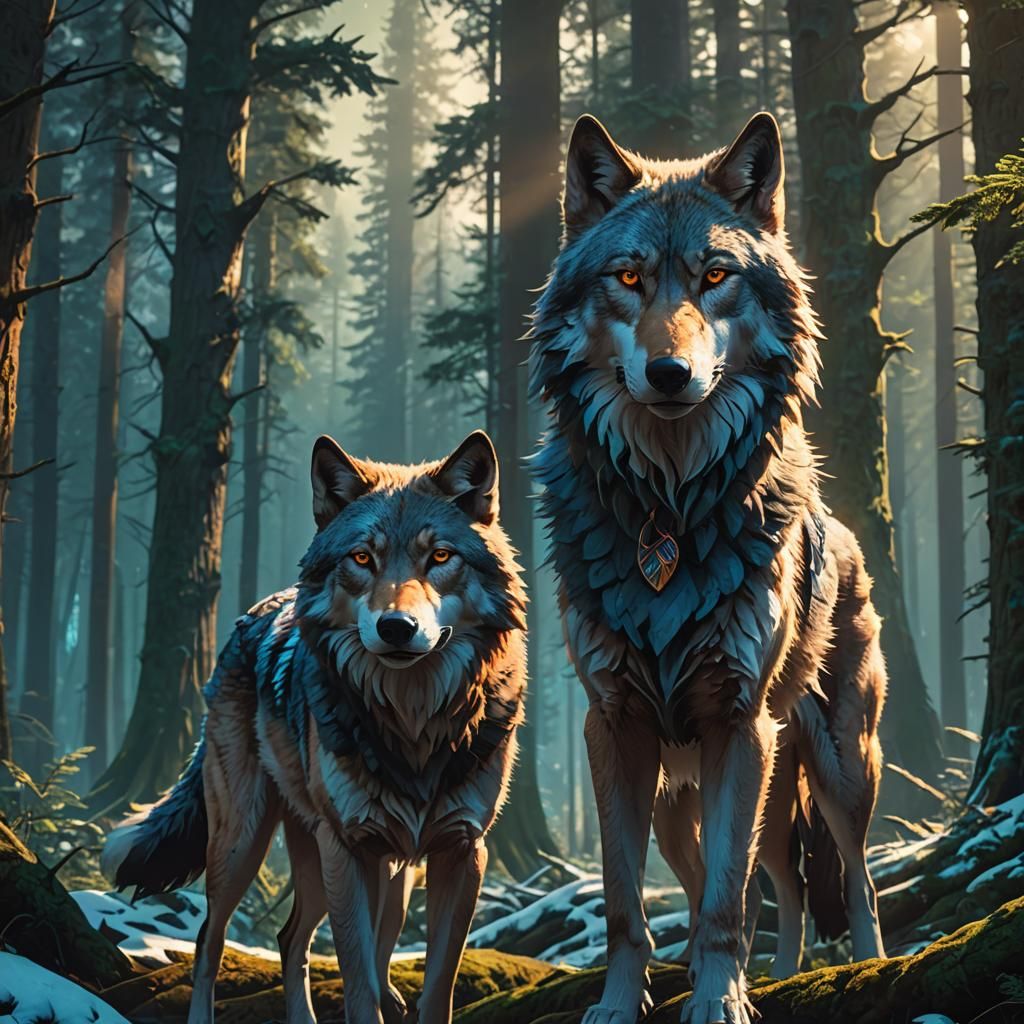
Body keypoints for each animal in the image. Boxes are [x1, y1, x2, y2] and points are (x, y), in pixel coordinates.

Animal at [102, 431, 526, 1024]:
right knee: (212, 939)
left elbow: (435, 985)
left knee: (295, 939)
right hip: (245, 843)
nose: (397, 627)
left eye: (440, 556)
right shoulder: (348, 847)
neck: (414, 725)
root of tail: (251, 614)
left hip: (381, 870)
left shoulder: (462, 852)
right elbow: (359, 987)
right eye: (362, 558)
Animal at [529, 112, 888, 1024]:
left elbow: (729, 899)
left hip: (835, 765)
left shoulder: (737, 723)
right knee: (773, 888)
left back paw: (863, 966)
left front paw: (719, 1003)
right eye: (628, 277)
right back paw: (781, 973)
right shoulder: (613, 728)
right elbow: (629, 903)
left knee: (849, 879)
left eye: (715, 276)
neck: (669, 504)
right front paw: (623, 1004)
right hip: (687, 799)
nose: (669, 373)